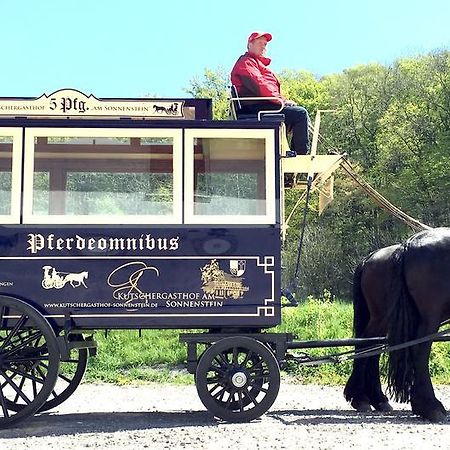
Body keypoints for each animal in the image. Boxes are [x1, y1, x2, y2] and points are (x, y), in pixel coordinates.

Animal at [344, 229, 450, 422]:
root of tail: (407, 245)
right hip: (428, 316)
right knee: (418, 351)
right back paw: (429, 406)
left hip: (383, 317)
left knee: (371, 346)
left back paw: (374, 398)